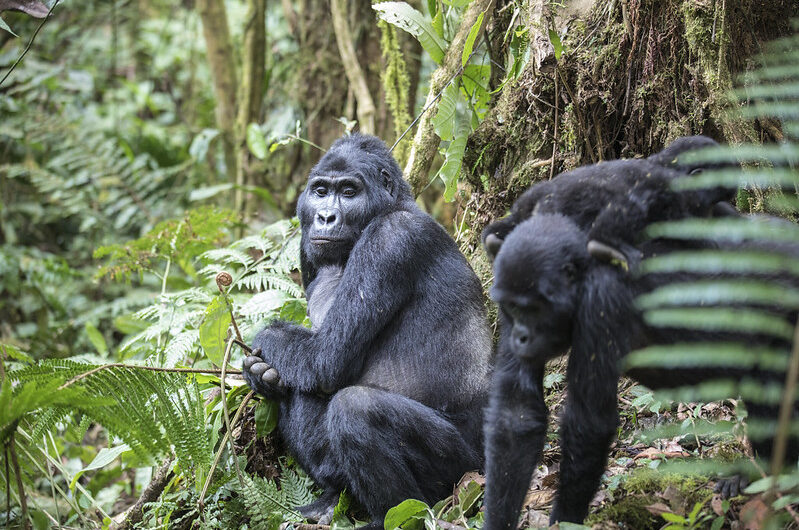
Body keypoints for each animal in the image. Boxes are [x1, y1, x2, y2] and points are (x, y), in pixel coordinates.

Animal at [244, 133, 494, 524]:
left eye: (349, 192)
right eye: (320, 191)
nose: (325, 217)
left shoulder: (391, 239)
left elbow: (325, 358)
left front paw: (262, 345)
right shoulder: (306, 249)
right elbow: (311, 364)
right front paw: (259, 375)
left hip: (464, 469)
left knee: (355, 409)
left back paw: (395, 516)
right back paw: (332, 497)